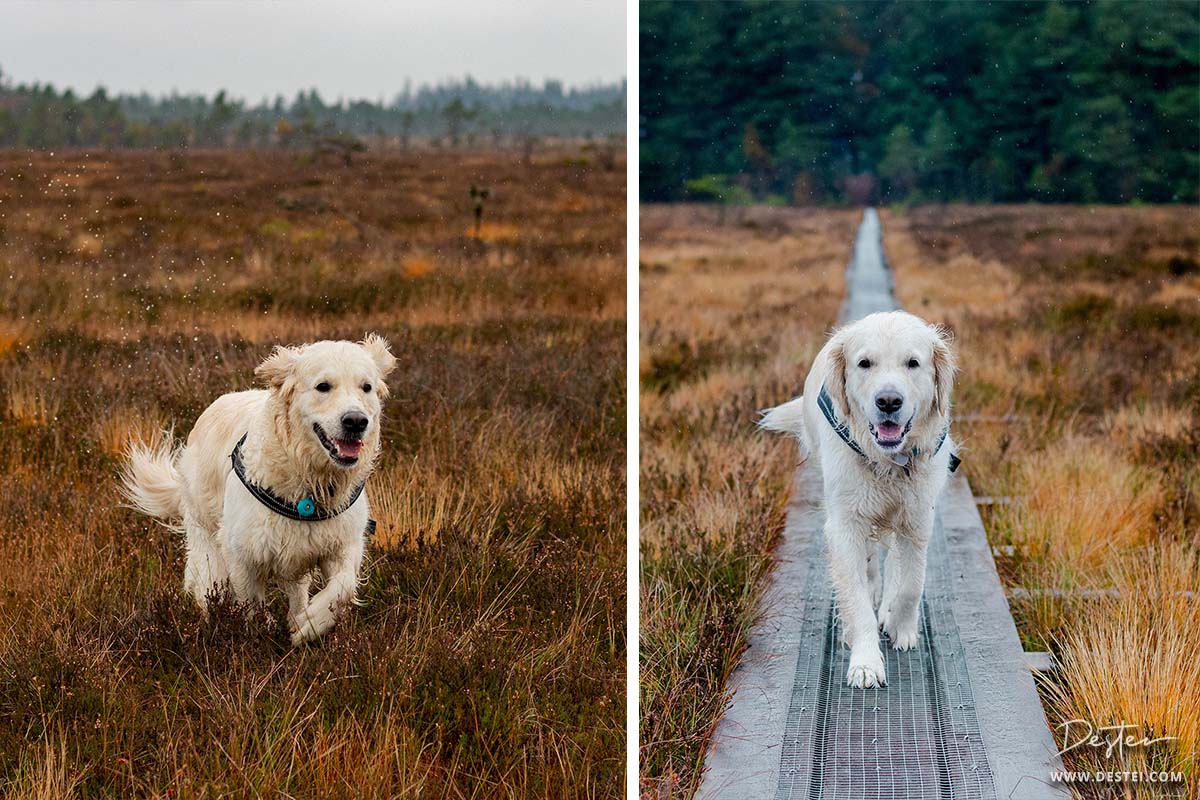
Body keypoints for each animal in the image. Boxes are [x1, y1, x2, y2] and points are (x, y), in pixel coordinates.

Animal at [121, 335, 396, 642]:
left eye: (366, 387)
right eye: (323, 386)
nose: (356, 421)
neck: (307, 482)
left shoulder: (344, 542)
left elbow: (343, 588)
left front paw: (310, 624)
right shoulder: (242, 554)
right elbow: (251, 604)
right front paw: (260, 633)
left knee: (297, 590)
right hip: (205, 534)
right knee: (209, 585)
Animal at [768, 311, 955, 690]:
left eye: (913, 363)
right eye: (864, 363)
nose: (888, 401)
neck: (891, 462)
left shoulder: (917, 519)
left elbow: (911, 584)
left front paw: (901, 627)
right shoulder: (845, 524)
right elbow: (855, 597)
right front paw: (865, 662)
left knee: (894, 564)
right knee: (869, 567)